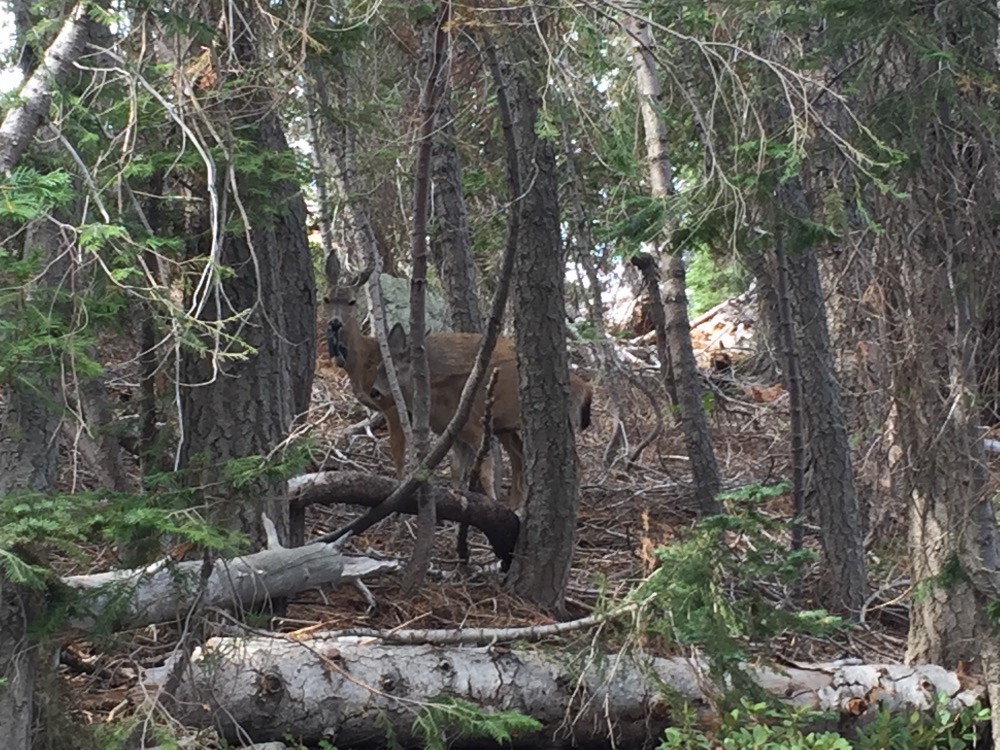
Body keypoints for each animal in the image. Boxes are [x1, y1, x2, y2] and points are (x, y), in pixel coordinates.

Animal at [370, 322, 588, 512]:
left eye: (391, 372)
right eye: (379, 368)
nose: (374, 392)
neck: (438, 402)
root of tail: (586, 389)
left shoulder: (475, 428)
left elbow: (484, 473)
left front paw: (492, 501)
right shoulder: (458, 437)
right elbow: (456, 471)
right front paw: (458, 498)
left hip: (563, 418)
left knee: (575, 463)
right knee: (521, 458)